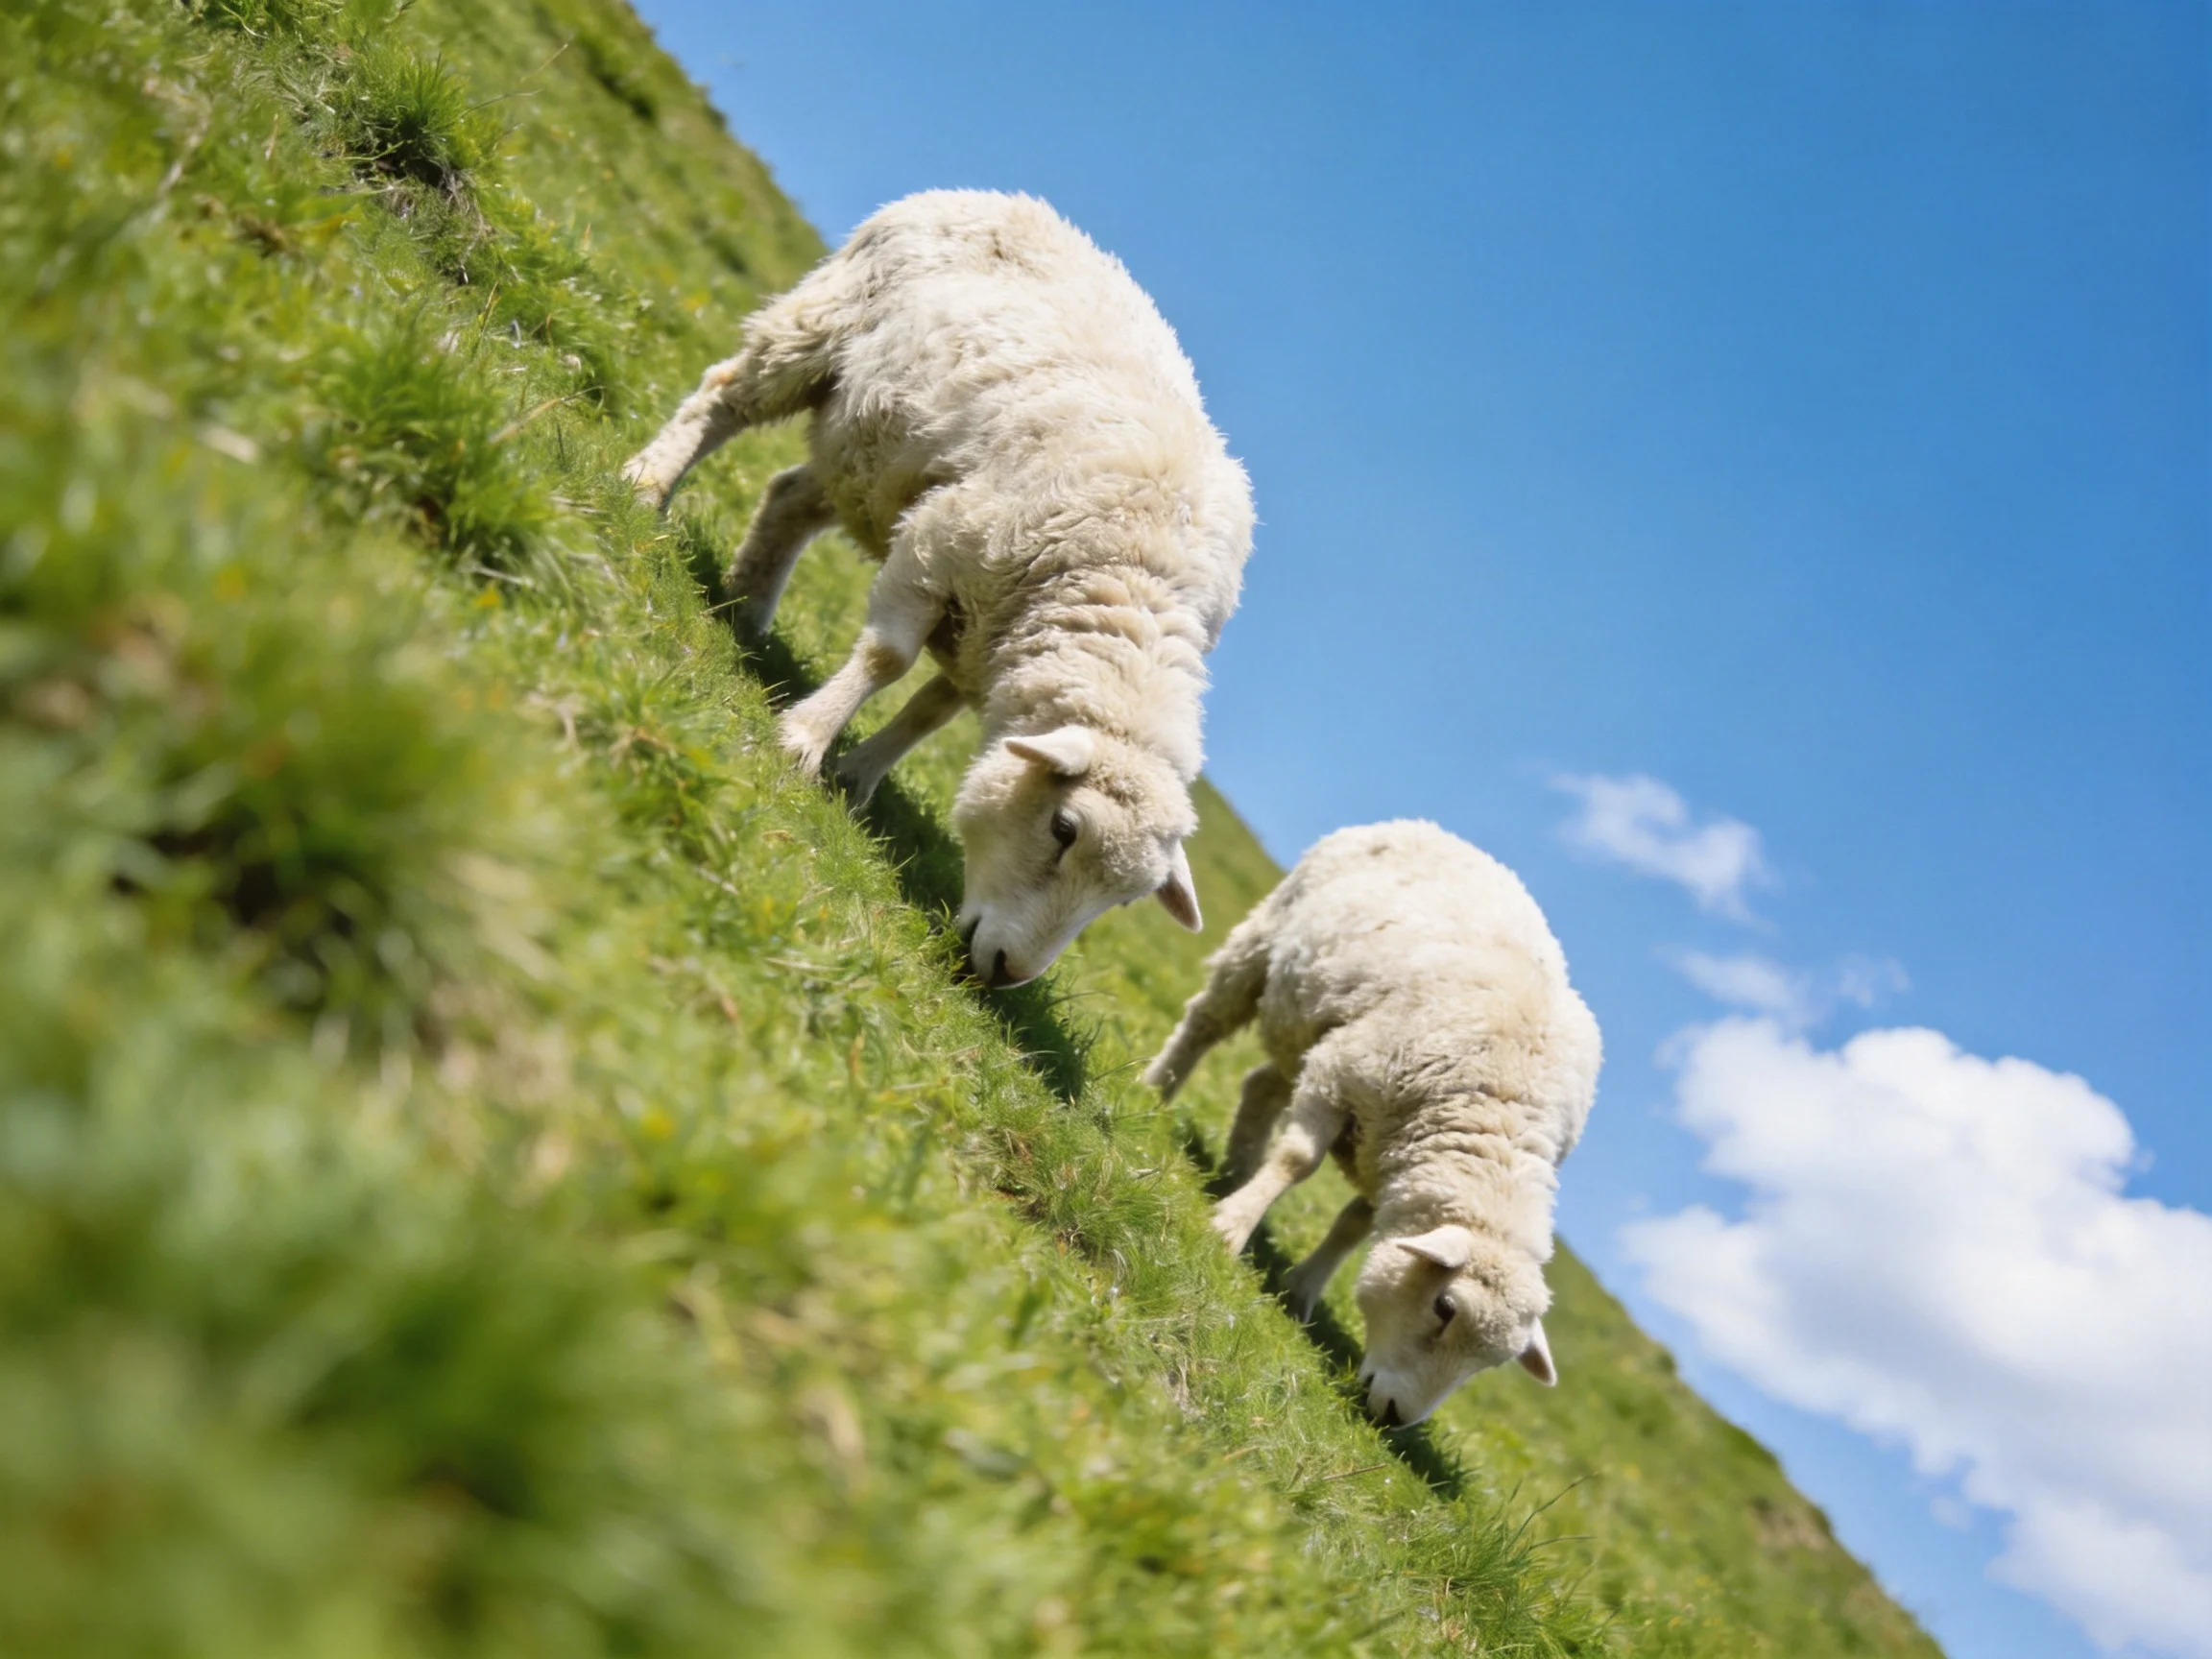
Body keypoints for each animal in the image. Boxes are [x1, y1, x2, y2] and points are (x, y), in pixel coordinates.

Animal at [622, 190, 1253, 987]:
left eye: (1123, 899)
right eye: (1064, 828)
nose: (1007, 972)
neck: (1132, 582)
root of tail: (998, 197)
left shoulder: (990, 634)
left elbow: (928, 713)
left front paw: (856, 777)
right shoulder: (942, 547)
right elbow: (886, 660)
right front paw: (803, 742)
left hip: (878, 457)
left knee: (791, 492)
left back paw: (748, 605)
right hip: (820, 332)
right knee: (725, 396)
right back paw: (649, 483)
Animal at [1144, 820, 1602, 1427]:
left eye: (1490, 1362)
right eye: (1444, 1307)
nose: (1394, 1418)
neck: (1498, 1113)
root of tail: (1434, 827)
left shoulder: (1392, 1152)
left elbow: (1353, 1226)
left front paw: (1302, 1289)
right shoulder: (1346, 1072)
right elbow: (1296, 1161)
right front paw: (1230, 1230)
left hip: (1310, 1027)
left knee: (1261, 1085)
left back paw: (1237, 1169)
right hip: (1263, 947)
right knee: (1206, 1023)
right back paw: (1155, 1090)